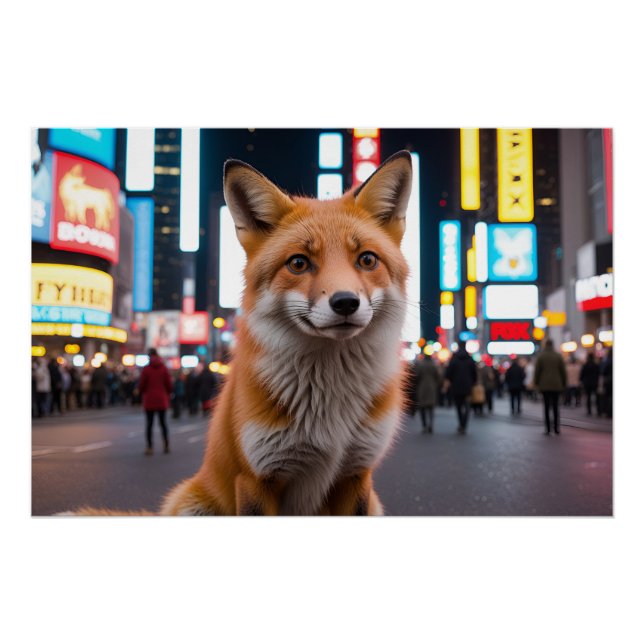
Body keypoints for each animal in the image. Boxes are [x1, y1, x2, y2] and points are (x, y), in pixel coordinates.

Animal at [68, 150, 413, 516]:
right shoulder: (255, 477)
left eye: (367, 260)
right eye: (299, 263)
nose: (346, 302)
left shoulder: (356, 474)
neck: (329, 401)